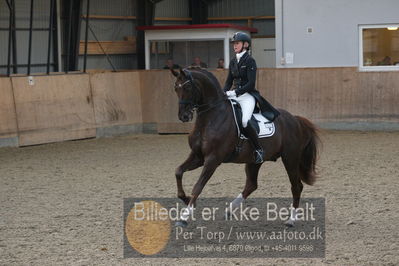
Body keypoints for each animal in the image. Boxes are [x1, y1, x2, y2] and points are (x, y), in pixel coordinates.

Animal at [170, 67, 320, 227]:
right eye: (175, 88)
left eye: (187, 87)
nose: (184, 116)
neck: (211, 118)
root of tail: (295, 119)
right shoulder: (198, 156)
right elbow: (178, 171)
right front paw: (186, 199)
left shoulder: (213, 160)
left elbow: (198, 186)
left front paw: (184, 216)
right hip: (254, 161)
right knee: (252, 185)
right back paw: (229, 210)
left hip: (290, 158)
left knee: (296, 186)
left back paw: (291, 220)